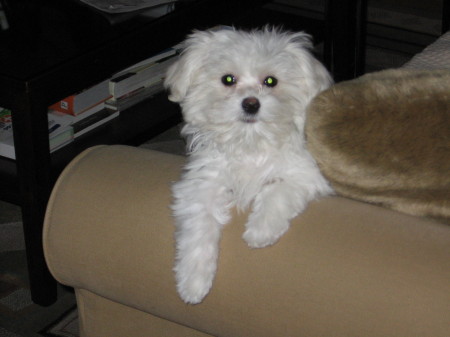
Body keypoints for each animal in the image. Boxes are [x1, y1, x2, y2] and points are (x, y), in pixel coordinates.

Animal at [163, 27, 332, 304]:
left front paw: (259, 231)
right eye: (228, 79)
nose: (251, 103)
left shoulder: (306, 173)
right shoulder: (202, 184)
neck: (250, 141)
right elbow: (198, 228)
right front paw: (193, 282)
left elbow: (277, 191)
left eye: (271, 81)